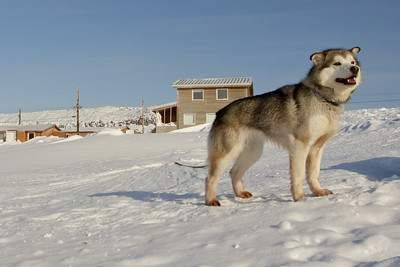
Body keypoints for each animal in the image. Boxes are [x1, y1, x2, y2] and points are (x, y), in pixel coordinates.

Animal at [206, 47, 362, 207]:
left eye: (352, 62)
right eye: (337, 63)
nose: (355, 69)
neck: (322, 98)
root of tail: (220, 112)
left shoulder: (317, 147)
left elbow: (313, 173)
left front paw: (318, 192)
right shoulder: (300, 146)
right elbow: (298, 175)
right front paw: (299, 198)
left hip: (253, 153)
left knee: (234, 172)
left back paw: (240, 194)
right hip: (227, 153)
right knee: (210, 178)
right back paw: (210, 200)